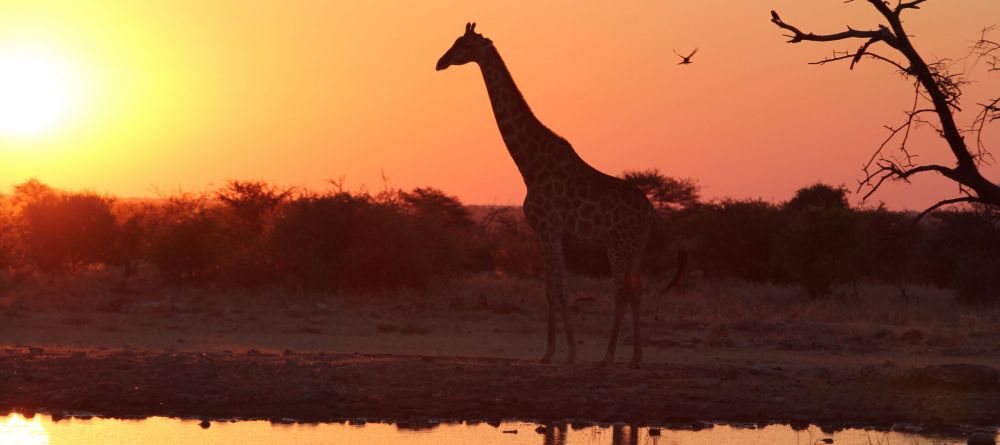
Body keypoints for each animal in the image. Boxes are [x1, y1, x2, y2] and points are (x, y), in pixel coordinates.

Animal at [436, 23, 685, 368]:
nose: (440, 62)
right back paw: (635, 357)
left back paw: (608, 356)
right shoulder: (544, 232)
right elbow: (549, 289)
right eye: (455, 41)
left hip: (619, 243)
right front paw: (552, 351)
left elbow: (561, 290)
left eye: (465, 45)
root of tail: (650, 210)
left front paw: (565, 352)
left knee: (621, 289)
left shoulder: (549, 229)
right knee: (636, 288)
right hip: (633, 245)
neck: (529, 164)